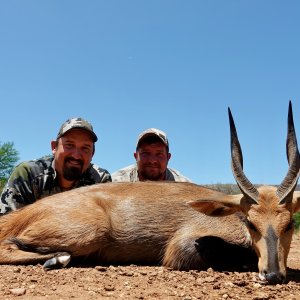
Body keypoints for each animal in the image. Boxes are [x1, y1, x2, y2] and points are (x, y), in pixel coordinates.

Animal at [0, 102, 298, 284]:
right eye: (250, 222)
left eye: (289, 225)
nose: (273, 275)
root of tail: (20, 216)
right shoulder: (183, 247)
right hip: (91, 232)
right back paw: (57, 259)